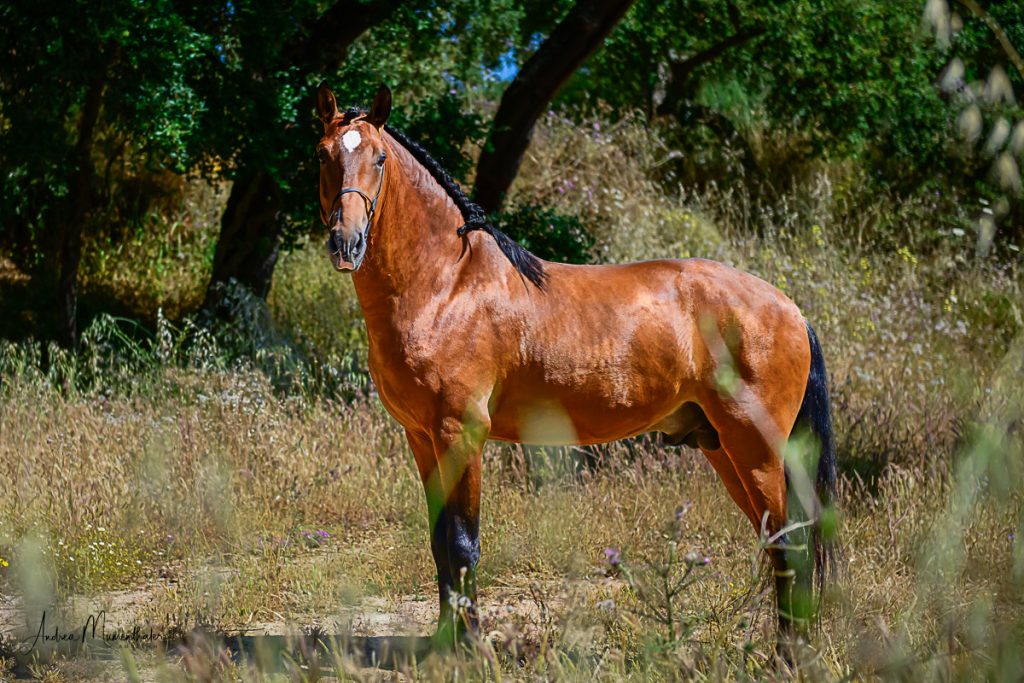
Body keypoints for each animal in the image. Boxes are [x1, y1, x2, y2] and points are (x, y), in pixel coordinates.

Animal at [313, 83, 839, 647]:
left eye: (379, 158)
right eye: (322, 155)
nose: (346, 243)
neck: (447, 285)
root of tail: (790, 308)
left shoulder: (462, 431)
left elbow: (462, 543)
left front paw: (470, 647)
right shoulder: (421, 436)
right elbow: (440, 545)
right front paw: (443, 644)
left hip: (757, 448)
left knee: (789, 545)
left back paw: (788, 654)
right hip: (723, 447)